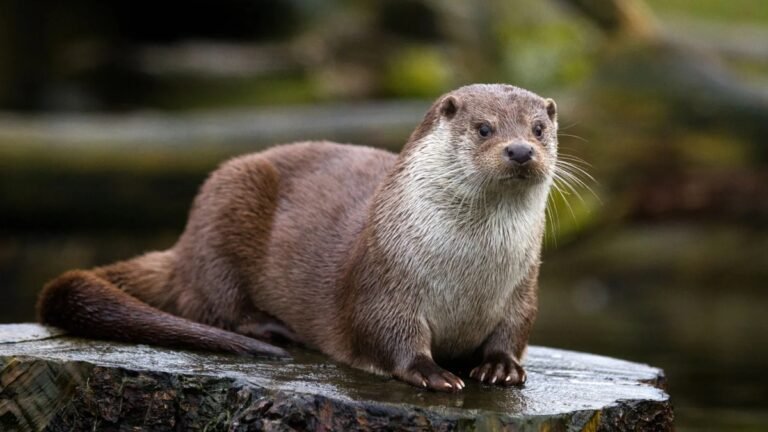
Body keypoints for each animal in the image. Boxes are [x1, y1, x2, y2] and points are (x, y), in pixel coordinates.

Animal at [38, 84, 558, 392]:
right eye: (484, 128)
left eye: (539, 129)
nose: (520, 150)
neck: (469, 275)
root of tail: (183, 247)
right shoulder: (383, 280)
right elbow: (386, 334)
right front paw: (433, 373)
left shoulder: (523, 290)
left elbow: (515, 331)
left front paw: (500, 367)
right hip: (224, 205)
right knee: (210, 302)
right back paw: (271, 329)